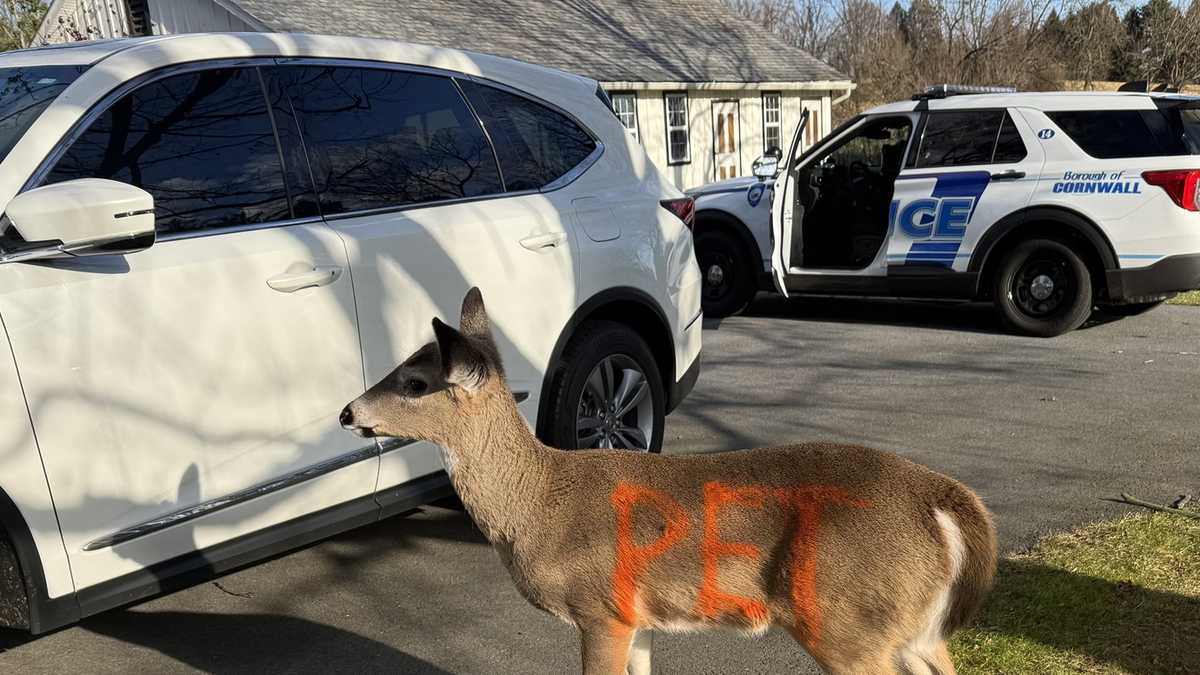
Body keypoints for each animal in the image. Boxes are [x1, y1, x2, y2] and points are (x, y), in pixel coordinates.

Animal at [339, 288, 997, 675]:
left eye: (416, 382)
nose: (346, 412)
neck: (538, 502)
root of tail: (944, 501)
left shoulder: (601, 609)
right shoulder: (640, 620)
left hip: (847, 621)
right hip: (913, 629)